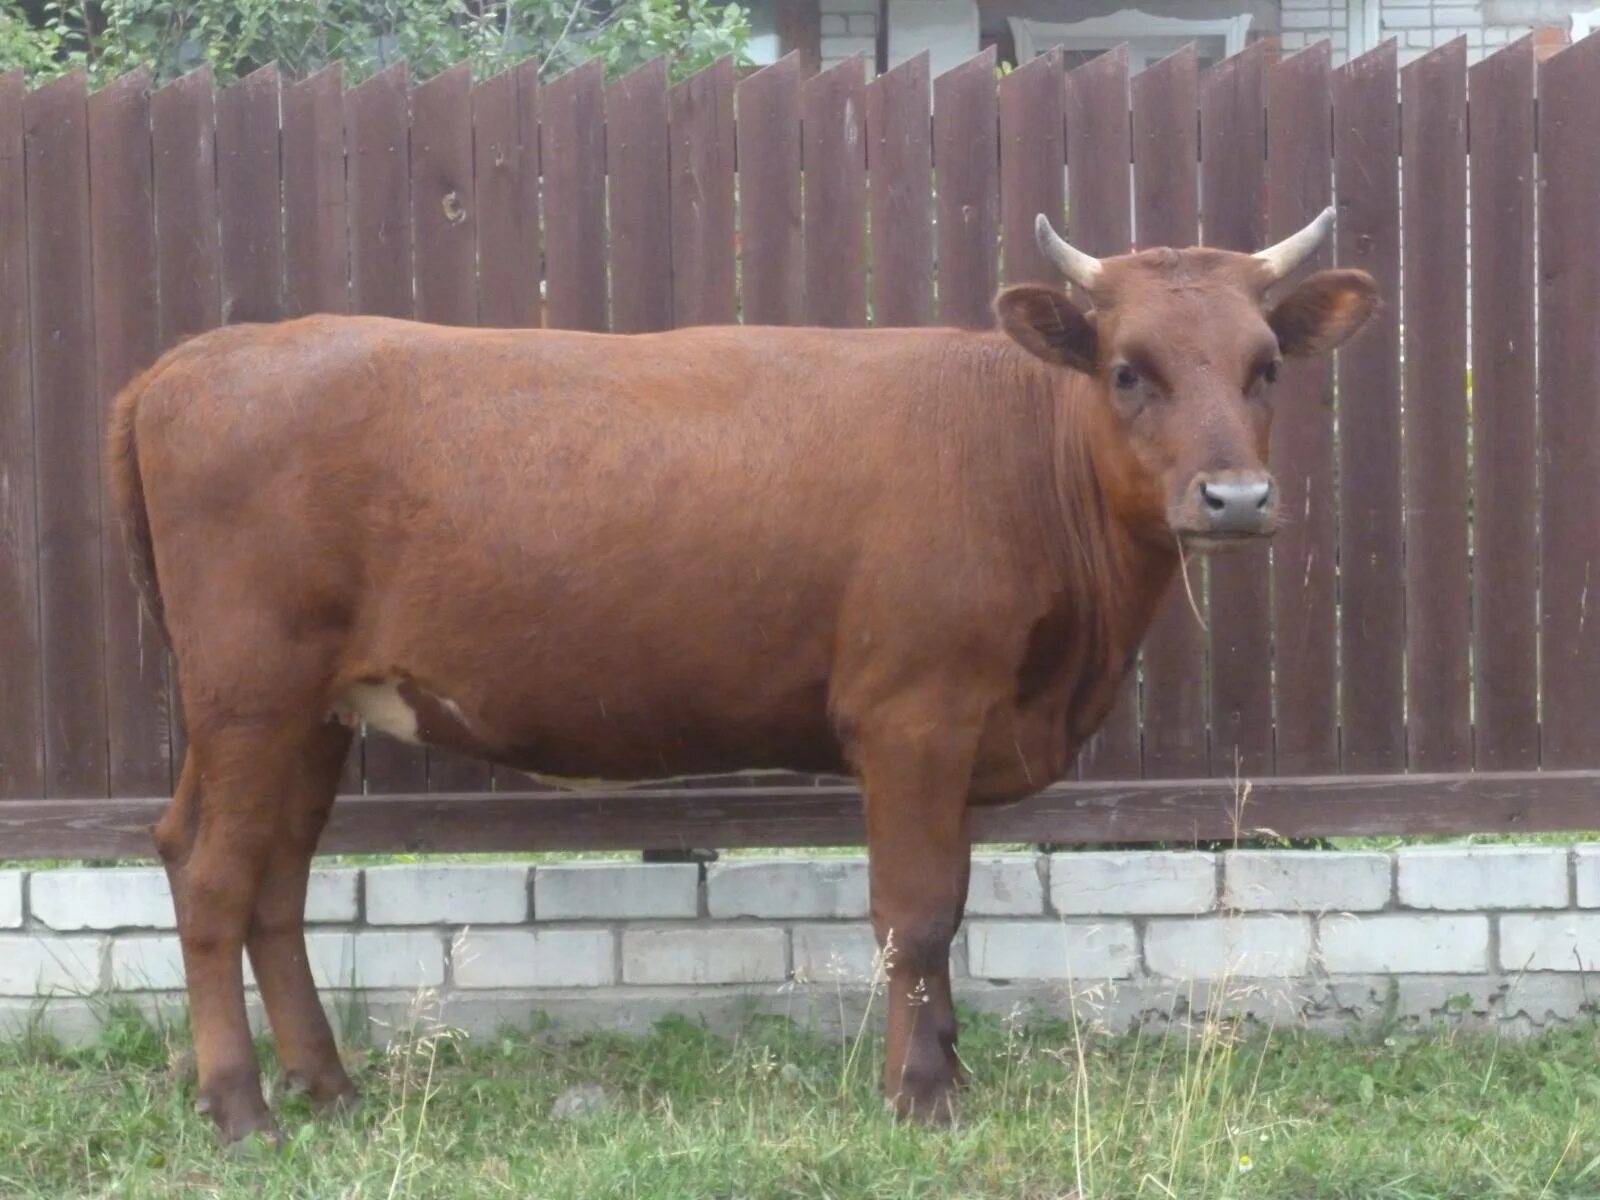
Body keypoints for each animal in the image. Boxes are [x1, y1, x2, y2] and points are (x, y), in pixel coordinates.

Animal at [106, 209, 1376, 1145]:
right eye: (1125, 370)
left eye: (1265, 367)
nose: (1234, 500)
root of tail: (186, 363)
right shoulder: (913, 714)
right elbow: (916, 912)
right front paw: (920, 1095)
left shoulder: (960, 732)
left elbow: (951, 906)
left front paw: (948, 1068)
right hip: (251, 693)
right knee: (217, 879)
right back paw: (243, 1110)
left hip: (306, 711)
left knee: (264, 878)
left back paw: (327, 1084)